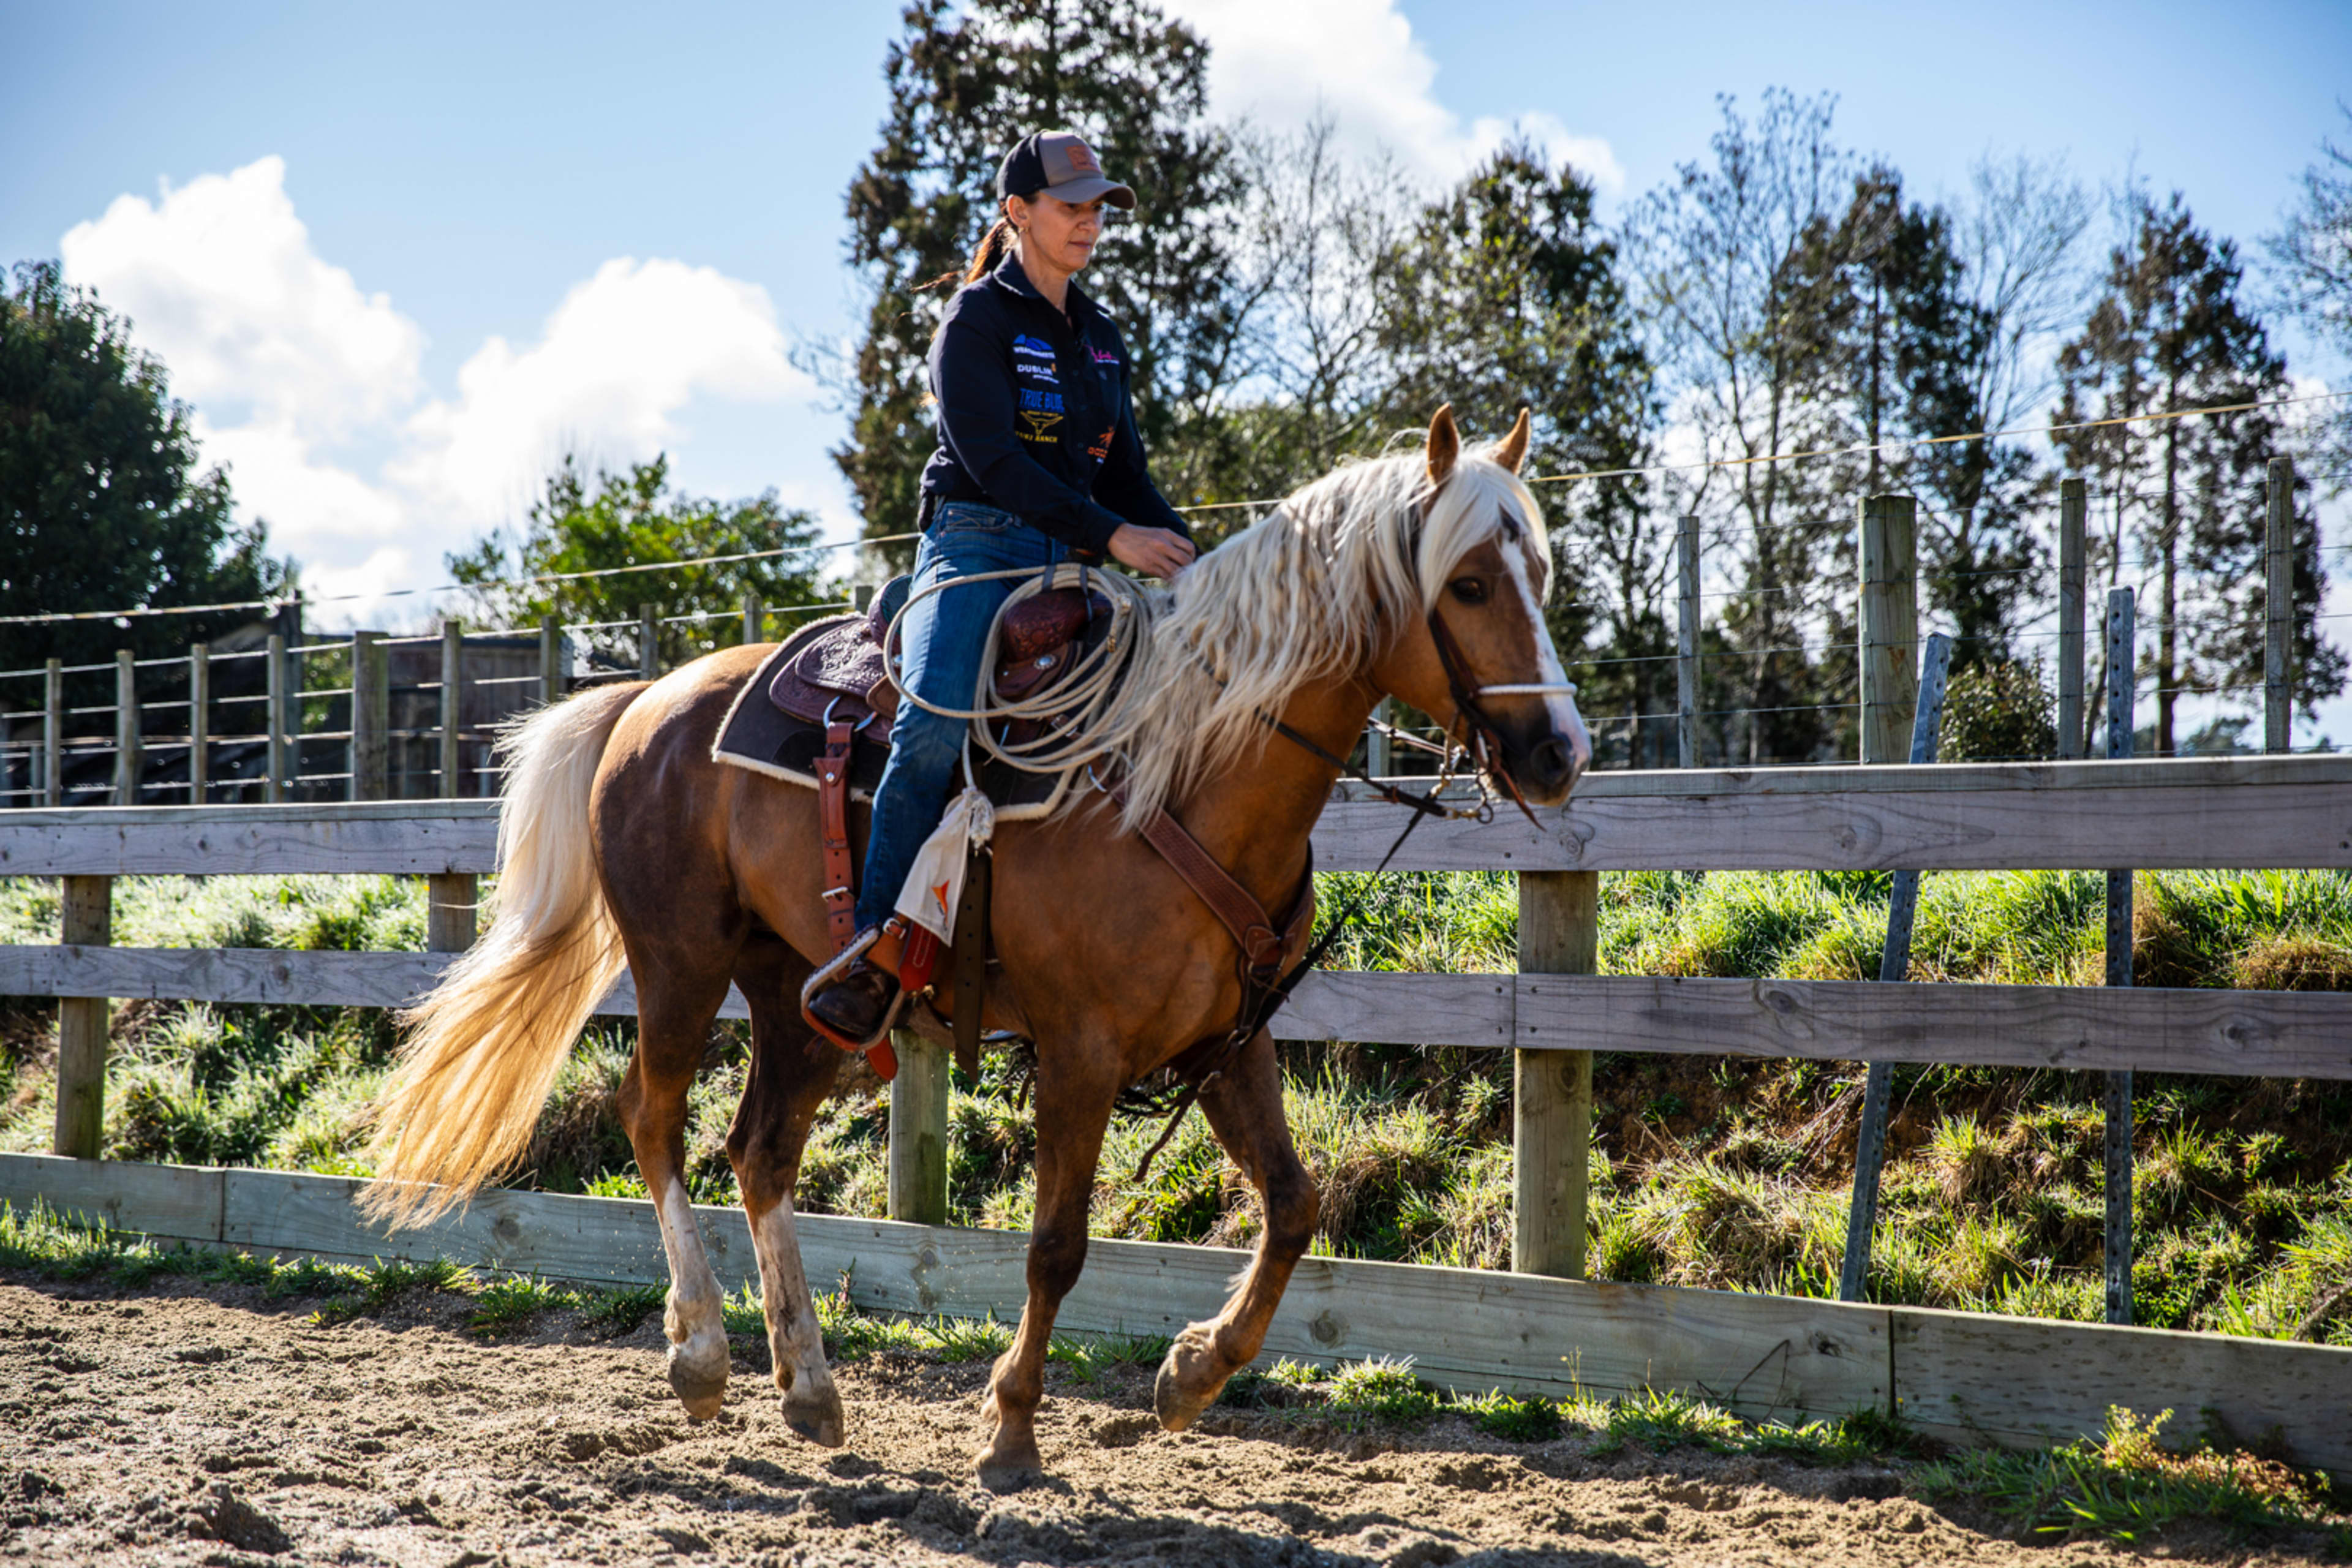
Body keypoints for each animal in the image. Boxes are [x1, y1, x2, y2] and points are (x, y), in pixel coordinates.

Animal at [360, 406, 1592, 1487]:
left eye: (1540, 575)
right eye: (1468, 582)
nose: (1560, 753)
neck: (1180, 773)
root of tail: (644, 699)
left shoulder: (1228, 1045)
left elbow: (1294, 1204)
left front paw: (1192, 1374)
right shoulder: (1080, 1053)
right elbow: (1057, 1245)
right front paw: (1009, 1432)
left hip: (797, 994)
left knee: (761, 1152)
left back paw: (809, 1388)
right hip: (679, 963)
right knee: (655, 1123)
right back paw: (703, 1355)